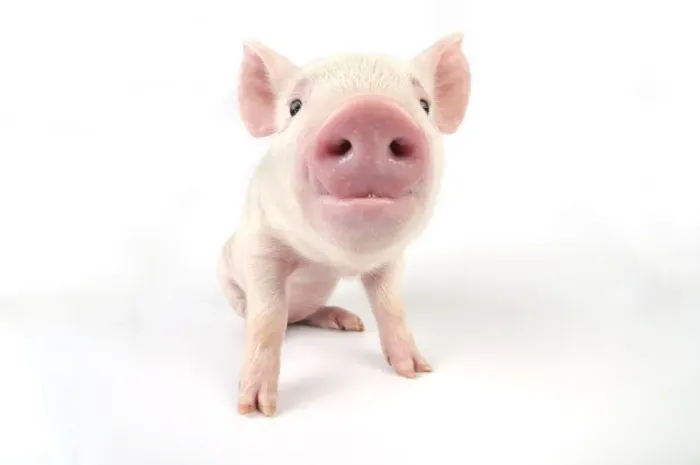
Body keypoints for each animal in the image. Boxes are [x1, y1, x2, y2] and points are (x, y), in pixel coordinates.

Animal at [217, 33, 471, 416]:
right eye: (295, 106)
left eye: (424, 104)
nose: (372, 114)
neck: (335, 260)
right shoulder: (262, 245)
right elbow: (268, 317)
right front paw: (257, 409)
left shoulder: (390, 261)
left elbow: (391, 306)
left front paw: (417, 370)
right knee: (269, 315)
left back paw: (350, 322)